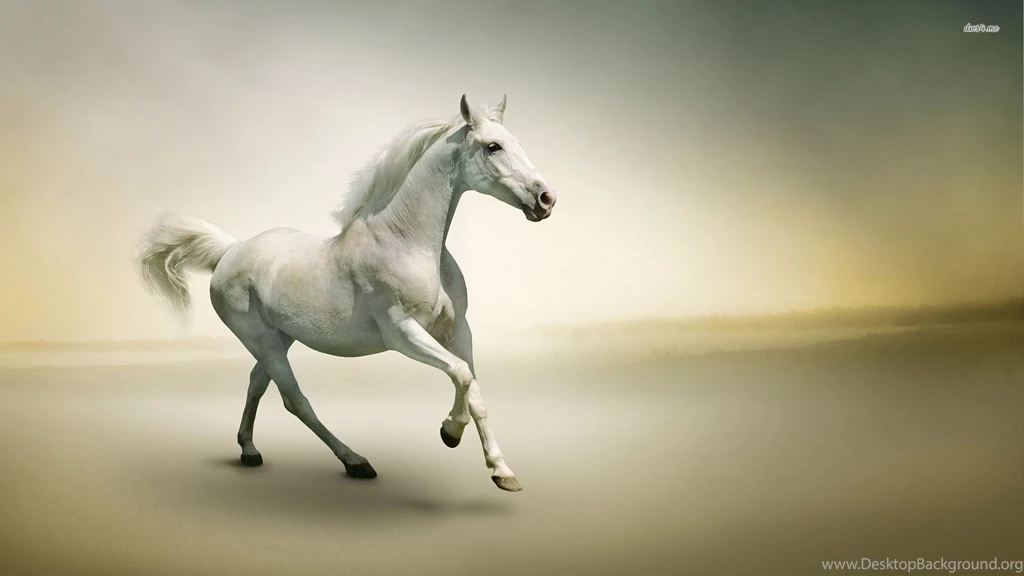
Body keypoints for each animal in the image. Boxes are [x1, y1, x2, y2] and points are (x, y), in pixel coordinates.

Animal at [136, 94, 557, 492]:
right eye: (493, 146)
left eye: (516, 142)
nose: (546, 199)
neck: (408, 244)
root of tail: (231, 250)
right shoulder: (402, 333)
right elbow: (461, 374)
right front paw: (449, 432)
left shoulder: (457, 330)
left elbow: (474, 389)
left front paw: (502, 472)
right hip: (262, 340)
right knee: (294, 400)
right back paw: (355, 461)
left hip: (280, 338)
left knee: (257, 382)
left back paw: (250, 450)